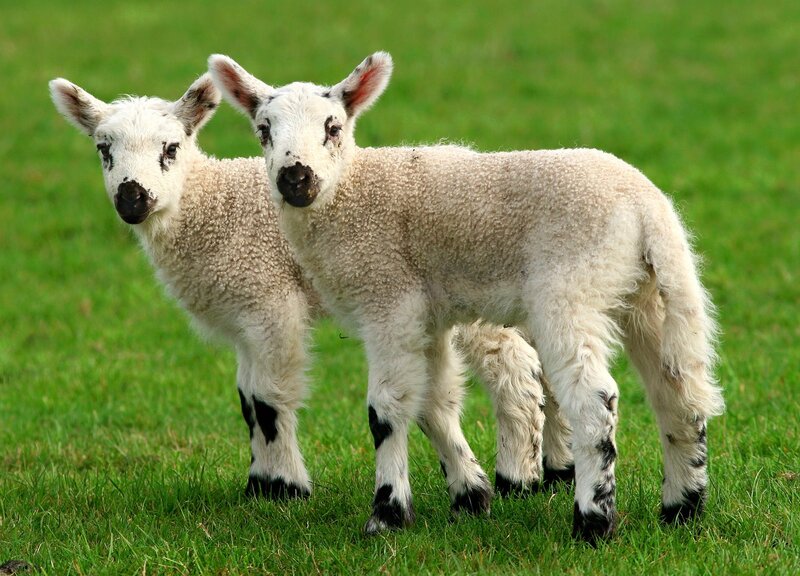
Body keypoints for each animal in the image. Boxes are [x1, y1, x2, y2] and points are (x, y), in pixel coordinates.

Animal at [48, 73, 574, 513]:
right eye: (103, 149)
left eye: (171, 148)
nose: (132, 198)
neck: (209, 207)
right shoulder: (244, 312)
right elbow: (246, 398)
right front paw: (257, 485)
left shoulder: (268, 296)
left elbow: (267, 398)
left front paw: (285, 488)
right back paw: (556, 471)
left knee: (515, 369)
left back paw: (515, 477)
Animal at [209, 51, 725, 542]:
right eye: (263, 131)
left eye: (332, 127)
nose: (295, 179)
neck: (351, 195)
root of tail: (648, 209)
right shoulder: (426, 315)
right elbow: (433, 403)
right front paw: (470, 497)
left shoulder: (388, 298)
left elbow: (386, 410)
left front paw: (388, 515)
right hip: (645, 295)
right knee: (677, 394)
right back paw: (682, 511)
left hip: (570, 286)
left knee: (594, 403)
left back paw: (593, 524)